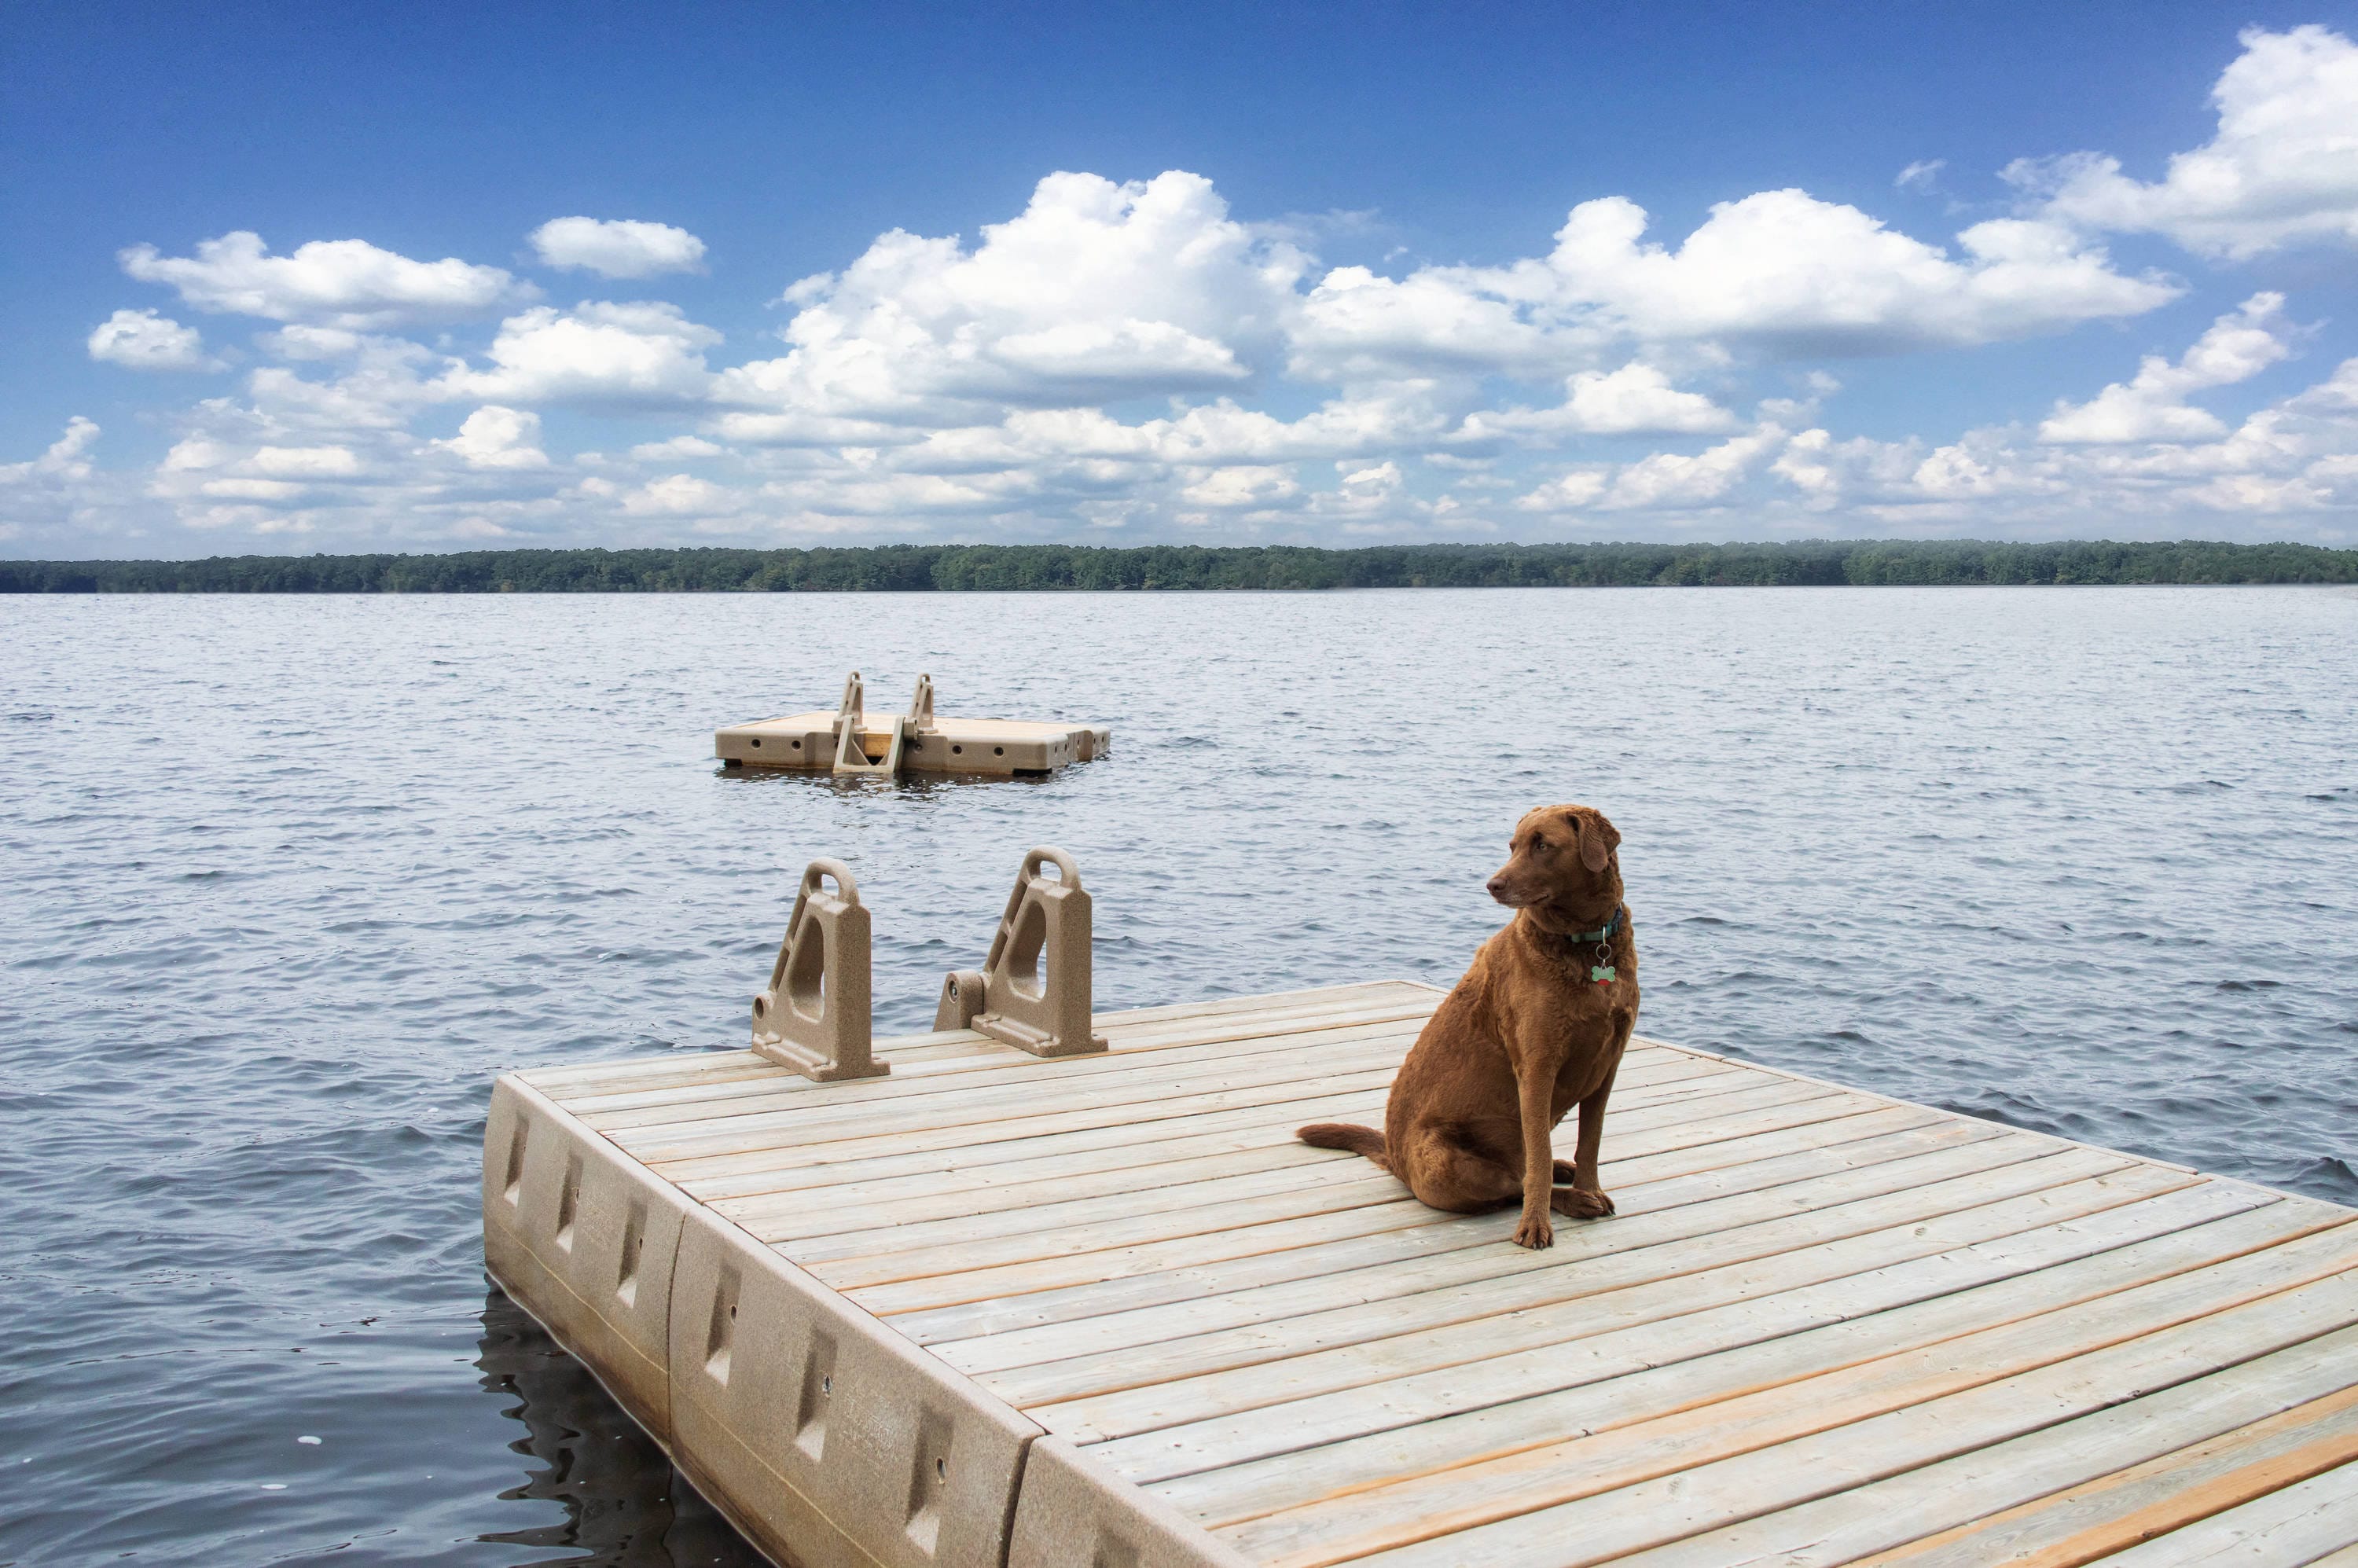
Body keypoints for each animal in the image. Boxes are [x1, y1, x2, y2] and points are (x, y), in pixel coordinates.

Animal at [1292, 806, 1641, 1245]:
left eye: (1543, 845)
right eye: (1513, 846)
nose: (1493, 884)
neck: (1586, 944)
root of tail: (1395, 1158)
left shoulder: (1608, 1064)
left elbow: (1590, 1142)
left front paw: (1591, 1188)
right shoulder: (1537, 1067)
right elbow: (1538, 1162)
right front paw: (1537, 1225)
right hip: (1446, 1160)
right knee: (1511, 1183)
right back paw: (1566, 1199)